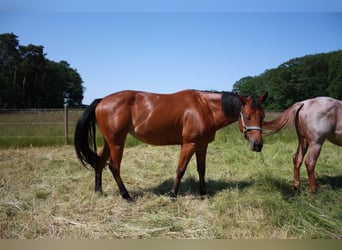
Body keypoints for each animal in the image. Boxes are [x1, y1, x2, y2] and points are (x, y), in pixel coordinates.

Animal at [75, 89, 268, 200]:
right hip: (117, 143)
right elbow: (180, 169)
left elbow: (201, 169)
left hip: (110, 142)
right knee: (113, 167)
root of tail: (101, 100)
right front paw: (173, 195)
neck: (204, 107)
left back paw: (99, 191)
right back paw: (126, 195)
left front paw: (204, 193)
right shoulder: (189, 144)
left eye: (263, 116)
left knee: (99, 162)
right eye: (248, 116)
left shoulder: (202, 145)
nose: (257, 145)